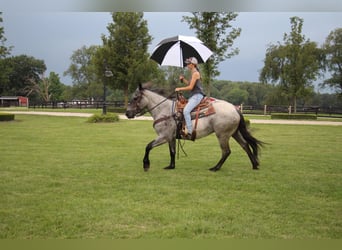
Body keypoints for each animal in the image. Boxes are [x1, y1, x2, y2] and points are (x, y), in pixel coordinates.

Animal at [125, 84, 262, 172]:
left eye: (135, 98)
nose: (127, 113)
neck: (164, 110)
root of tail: (234, 108)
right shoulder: (171, 138)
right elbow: (172, 152)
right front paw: (171, 166)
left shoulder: (163, 136)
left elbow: (148, 146)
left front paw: (146, 164)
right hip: (234, 133)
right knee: (245, 145)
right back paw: (254, 165)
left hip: (222, 135)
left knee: (226, 151)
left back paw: (215, 168)